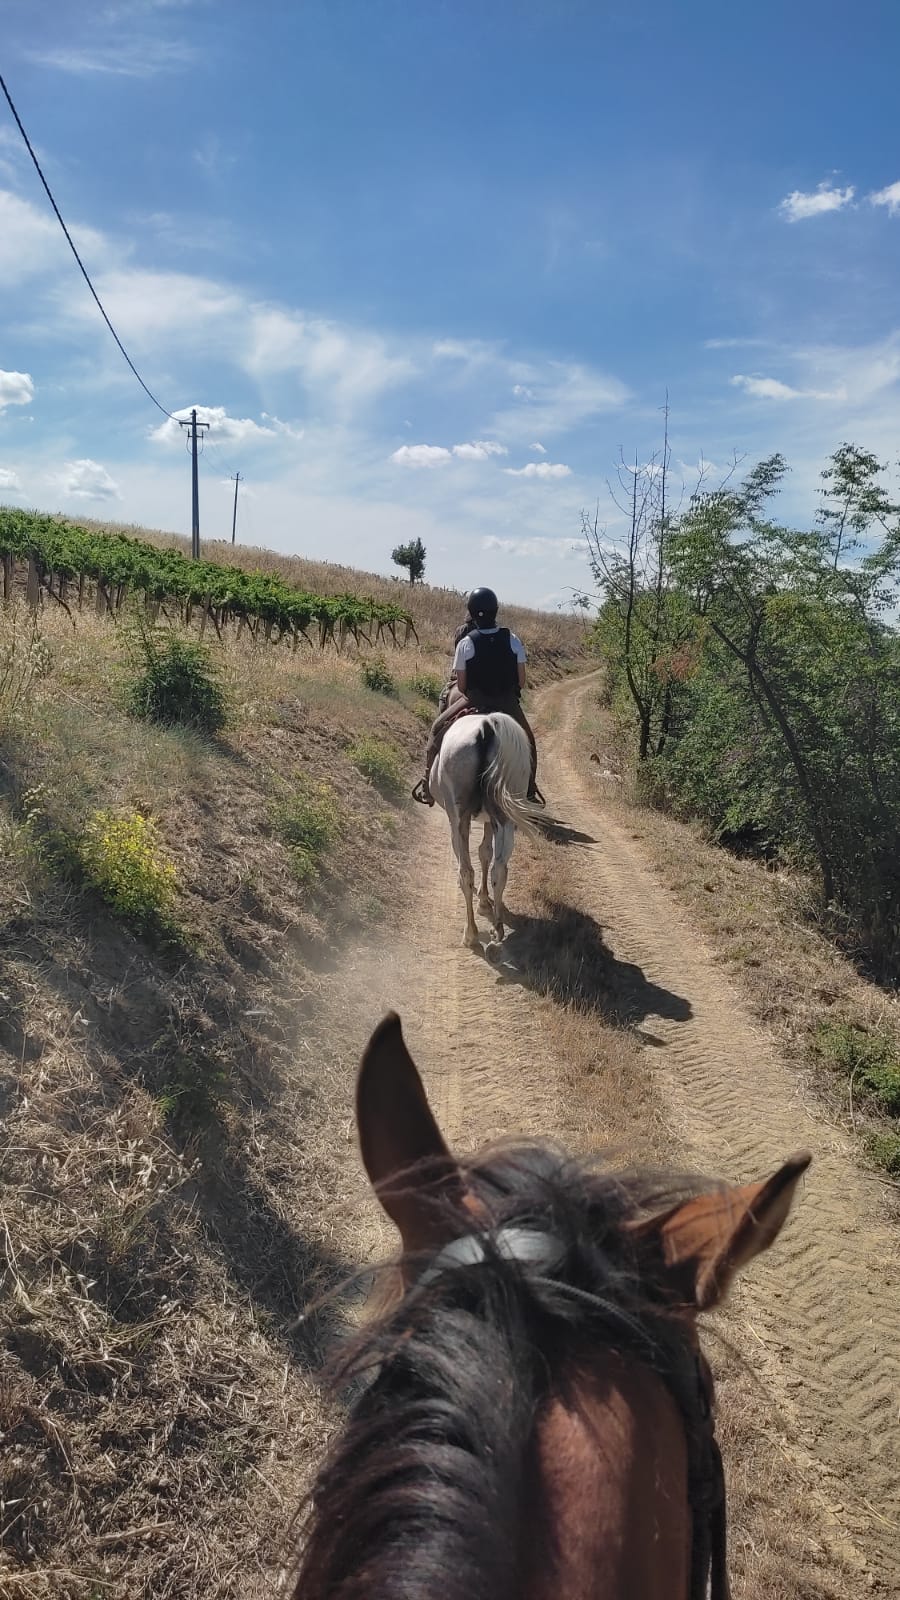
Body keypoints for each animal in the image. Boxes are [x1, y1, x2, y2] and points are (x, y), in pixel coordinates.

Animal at [422, 713, 534, 947]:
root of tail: (486, 726)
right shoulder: (490, 820)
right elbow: (485, 852)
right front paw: (484, 901)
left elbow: (477, 857)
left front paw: (481, 903)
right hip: (505, 817)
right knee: (499, 869)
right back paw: (497, 930)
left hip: (459, 819)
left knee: (466, 872)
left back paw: (470, 933)